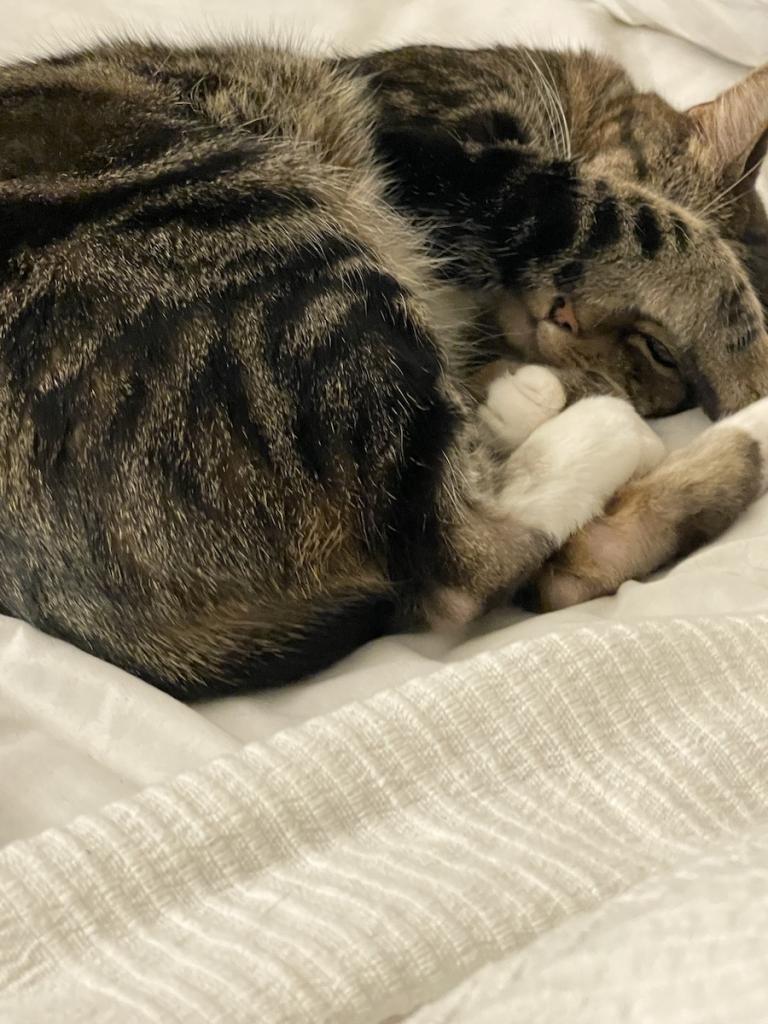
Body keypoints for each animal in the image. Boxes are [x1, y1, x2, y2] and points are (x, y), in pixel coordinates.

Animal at [0, 39, 768, 696]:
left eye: (658, 352)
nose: (564, 315)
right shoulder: (440, 155)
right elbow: (642, 223)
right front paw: (745, 355)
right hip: (277, 243)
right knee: (461, 564)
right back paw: (700, 430)